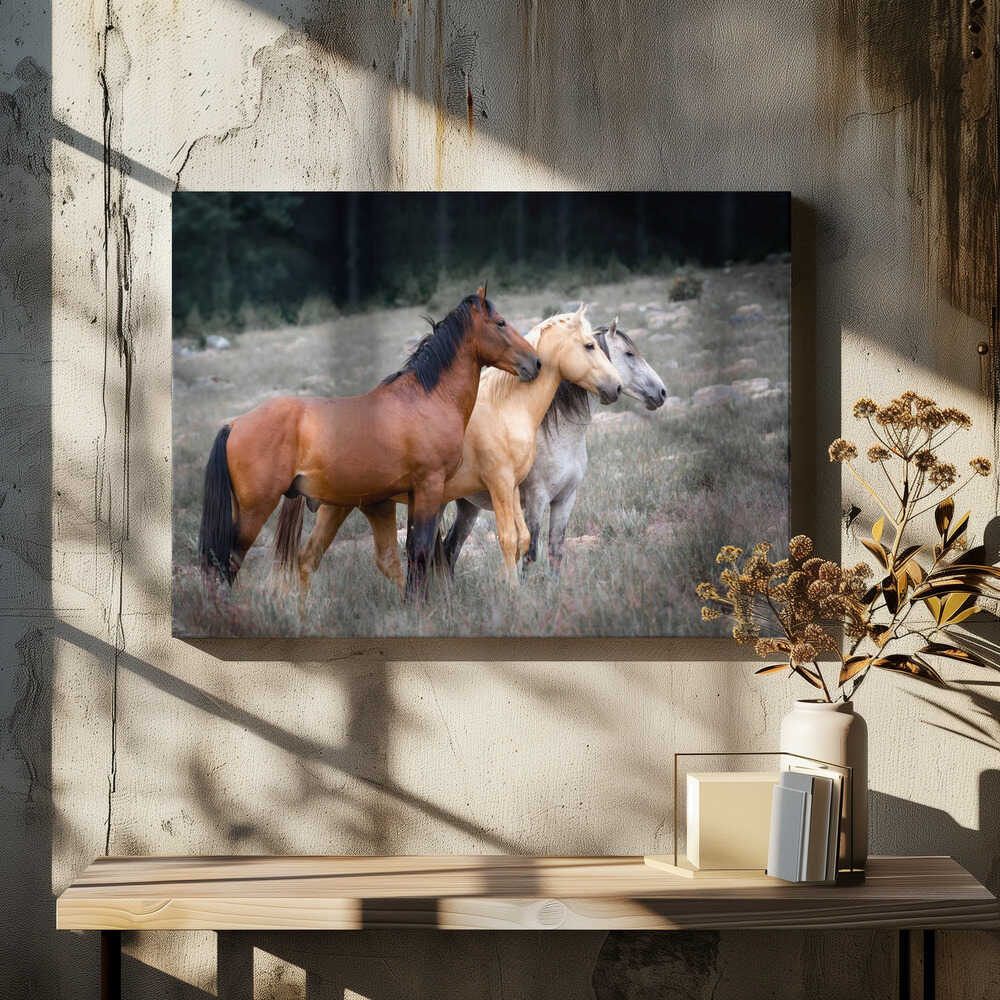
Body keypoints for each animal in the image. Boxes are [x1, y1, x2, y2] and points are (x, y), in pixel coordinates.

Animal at [198, 286, 541, 599]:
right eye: (500, 323)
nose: (535, 363)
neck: (428, 398)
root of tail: (234, 424)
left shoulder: (414, 495)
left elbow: (413, 552)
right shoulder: (430, 487)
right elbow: (421, 551)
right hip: (254, 510)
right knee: (228, 563)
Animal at [279, 304, 623, 595]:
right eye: (589, 346)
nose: (616, 386)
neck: (507, 409)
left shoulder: (513, 487)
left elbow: (523, 540)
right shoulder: (502, 485)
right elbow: (509, 539)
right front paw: (512, 593)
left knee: (314, 559)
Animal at [442, 319, 667, 577]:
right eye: (629, 353)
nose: (662, 392)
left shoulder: (565, 499)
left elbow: (555, 551)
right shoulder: (536, 500)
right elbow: (530, 554)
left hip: (468, 506)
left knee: (450, 548)